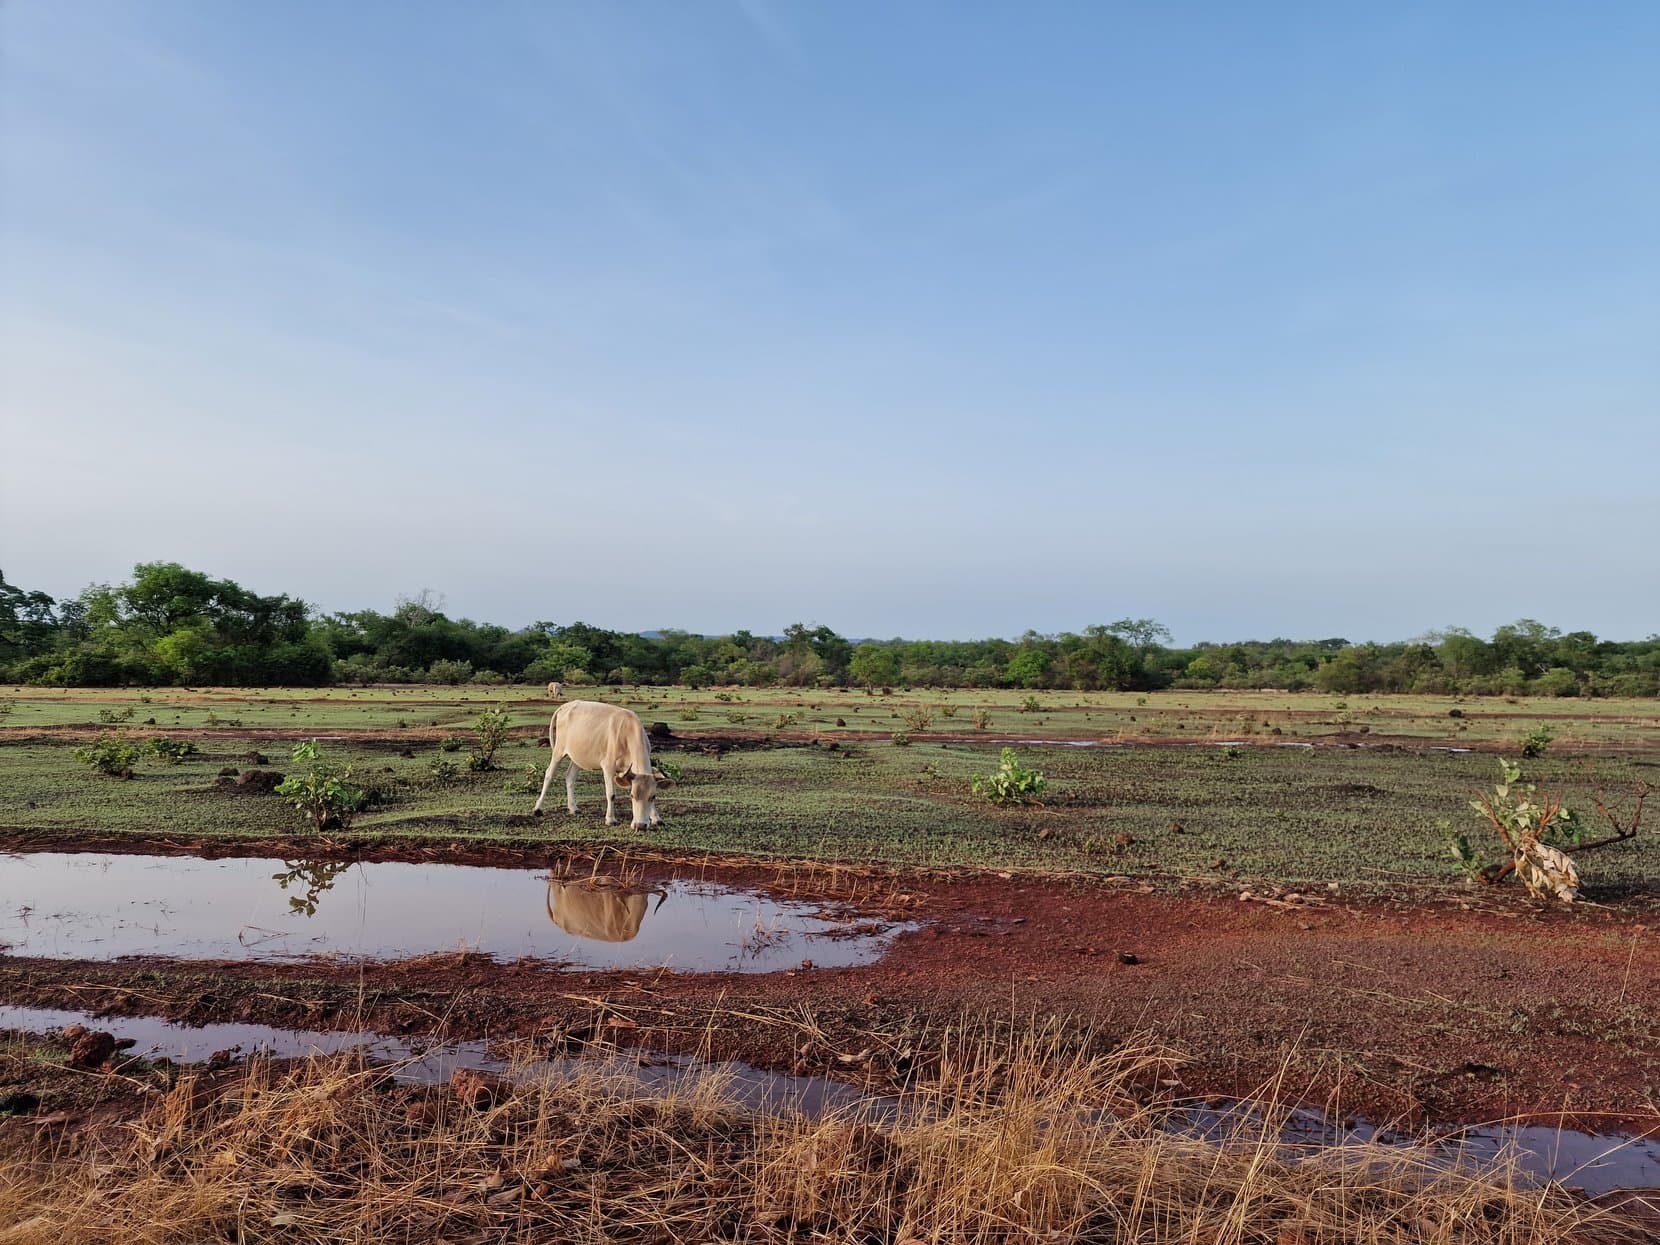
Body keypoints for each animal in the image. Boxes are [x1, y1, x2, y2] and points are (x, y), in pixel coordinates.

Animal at [531, 699, 668, 830]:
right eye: (632, 796)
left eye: (653, 797)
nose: (640, 825)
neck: (628, 732)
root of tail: (565, 706)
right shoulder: (608, 767)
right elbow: (611, 794)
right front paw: (610, 819)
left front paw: (656, 818)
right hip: (558, 750)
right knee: (549, 774)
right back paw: (538, 809)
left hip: (578, 756)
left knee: (569, 776)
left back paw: (573, 808)